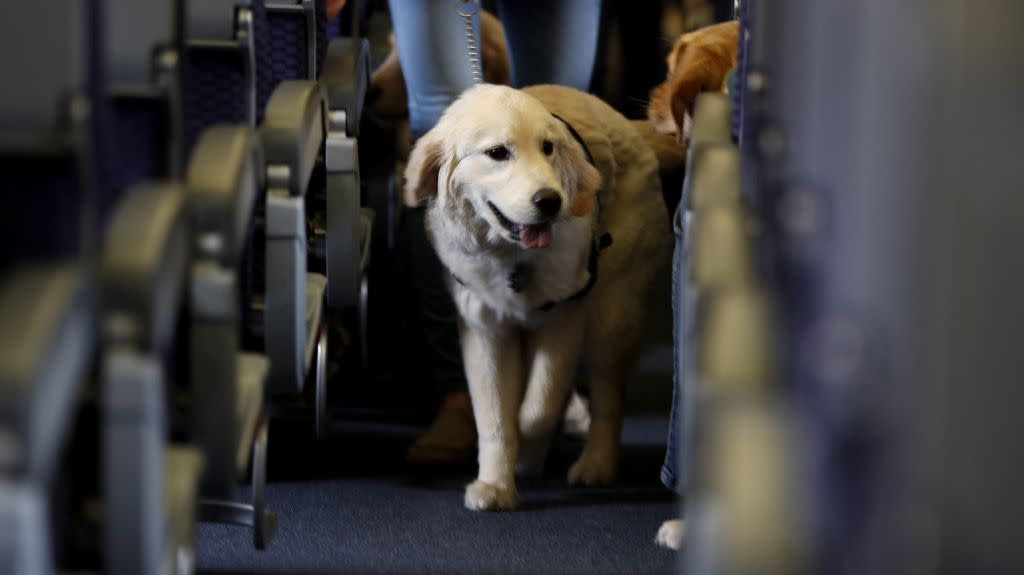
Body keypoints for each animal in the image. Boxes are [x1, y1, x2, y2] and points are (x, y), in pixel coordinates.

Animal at [399, 82, 671, 507]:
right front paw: (495, 485)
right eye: (497, 153)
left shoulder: (564, 316)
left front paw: (528, 443)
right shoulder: (484, 329)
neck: (514, 257)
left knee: (608, 398)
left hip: (611, 313)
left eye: (548, 148)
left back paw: (595, 464)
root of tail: (626, 123)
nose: (550, 201)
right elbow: (494, 416)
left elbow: (539, 405)